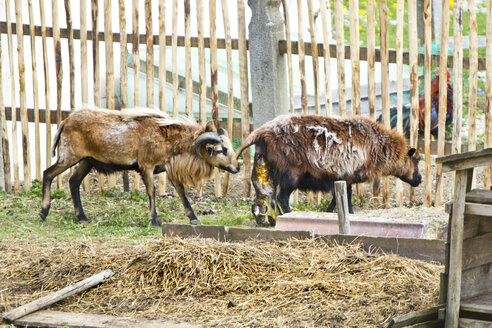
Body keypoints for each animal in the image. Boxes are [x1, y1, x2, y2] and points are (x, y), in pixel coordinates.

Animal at [236, 113, 420, 226]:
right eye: (415, 160)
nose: (419, 180)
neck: (379, 147)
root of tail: (262, 131)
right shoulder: (348, 175)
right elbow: (346, 197)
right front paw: (348, 213)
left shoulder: (343, 178)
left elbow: (339, 198)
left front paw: (329, 212)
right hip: (291, 174)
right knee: (282, 198)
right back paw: (289, 215)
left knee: (269, 198)